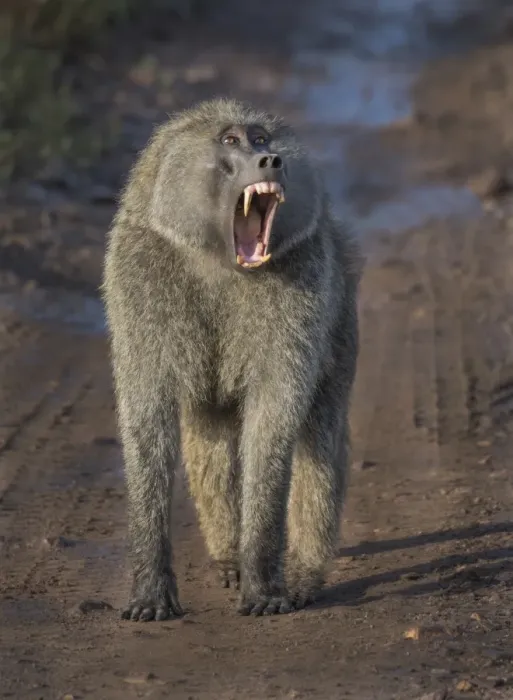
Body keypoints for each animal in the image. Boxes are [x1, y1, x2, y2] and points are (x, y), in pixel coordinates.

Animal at [102, 98, 361, 621]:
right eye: (230, 141)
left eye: (262, 138)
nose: (271, 161)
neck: (220, 263)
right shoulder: (138, 275)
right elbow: (148, 422)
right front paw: (150, 592)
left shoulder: (304, 273)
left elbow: (273, 422)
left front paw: (264, 583)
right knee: (210, 438)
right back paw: (227, 557)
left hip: (342, 321)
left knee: (320, 441)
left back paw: (304, 574)